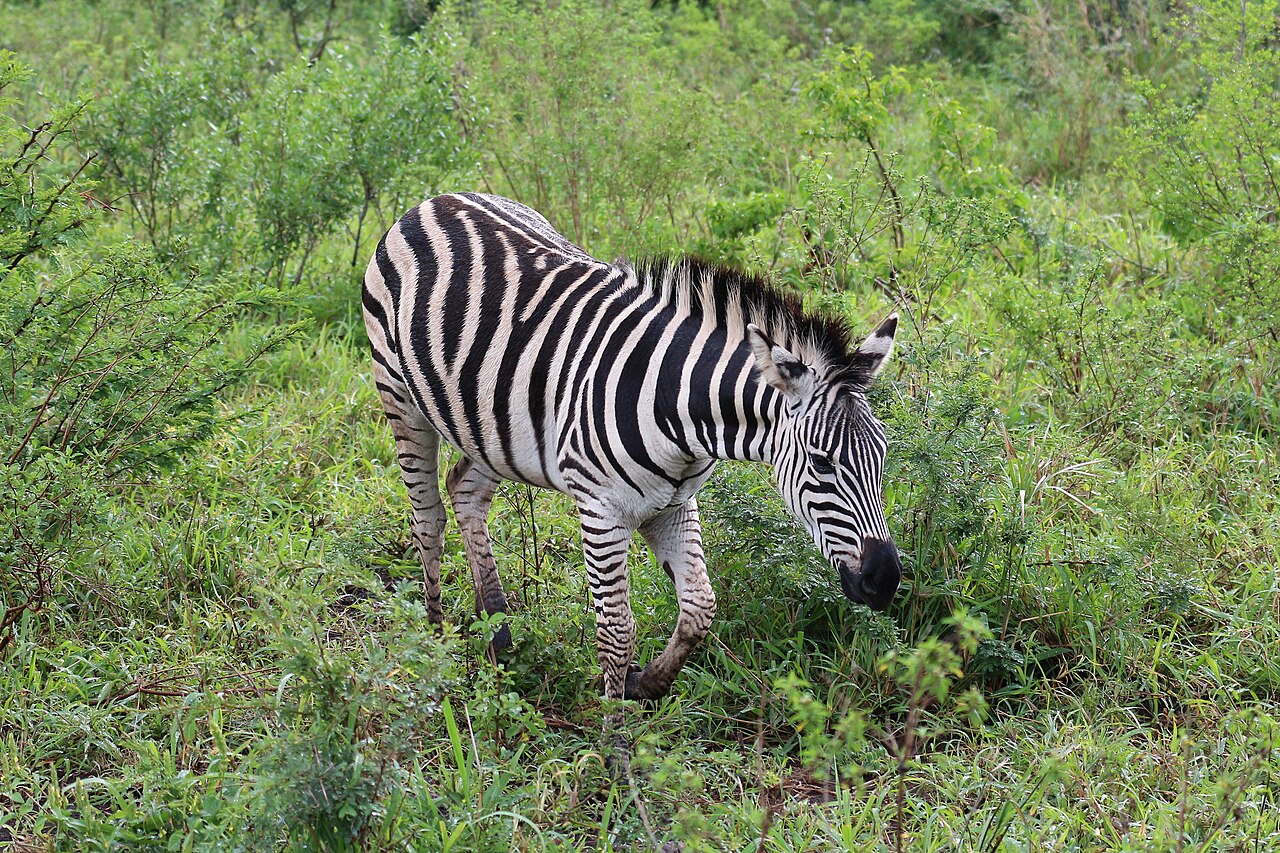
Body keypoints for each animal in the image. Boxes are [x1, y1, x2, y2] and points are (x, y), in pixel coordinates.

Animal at [362, 192, 902, 718]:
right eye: (822, 462)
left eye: (883, 454)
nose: (886, 581)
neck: (679, 410)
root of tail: (435, 200)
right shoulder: (603, 511)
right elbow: (617, 632)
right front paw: (615, 733)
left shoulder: (674, 504)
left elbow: (700, 607)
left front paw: (646, 683)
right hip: (400, 396)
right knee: (427, 516)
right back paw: (436, 642)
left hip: (489, 423)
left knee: (465, 492)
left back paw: (498, 634)